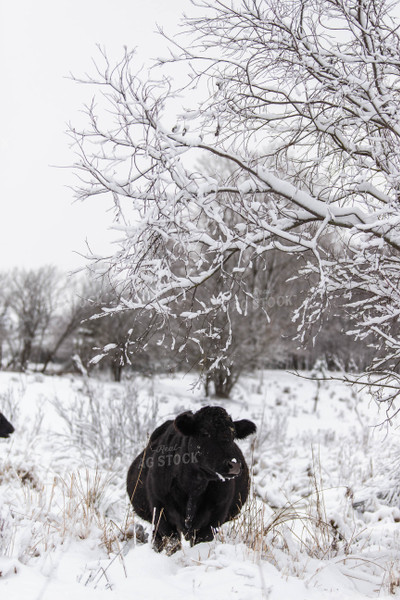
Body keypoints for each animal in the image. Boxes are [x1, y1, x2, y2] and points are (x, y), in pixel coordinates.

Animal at [126, 408, 256, 552]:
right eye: (204, 433)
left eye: (233, 435)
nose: (235, 464)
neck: (193, 486)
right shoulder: (161, 513)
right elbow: (172, 543)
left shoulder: (214, 518)